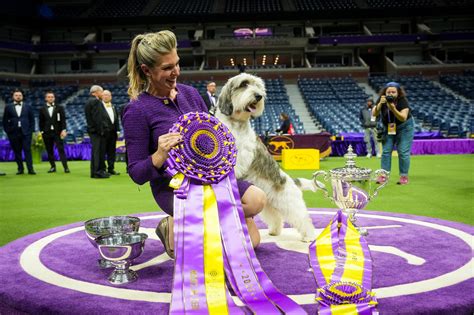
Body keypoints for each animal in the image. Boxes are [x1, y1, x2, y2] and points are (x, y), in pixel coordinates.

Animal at [217, 74, 316, 242]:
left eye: (258, 86)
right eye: (244, 84)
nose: (259, 96)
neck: (235, 124)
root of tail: (290, 180)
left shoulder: (240, 157)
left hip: (289, 202)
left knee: (303, 218)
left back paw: (308, 236)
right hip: (269, 203)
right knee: (276, 217)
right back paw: (274, 231)